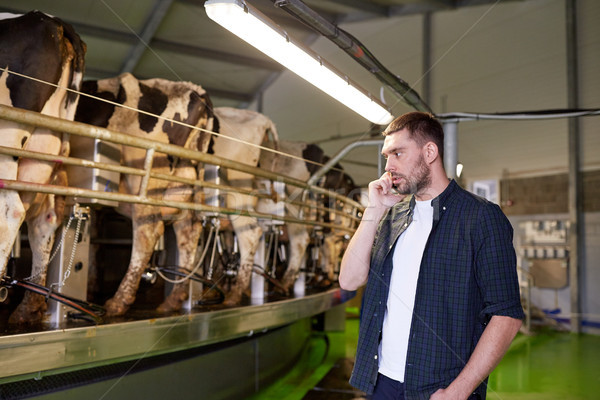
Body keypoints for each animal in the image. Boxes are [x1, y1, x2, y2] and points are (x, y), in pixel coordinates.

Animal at [0, 11, 86, 324]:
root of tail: (53, 21)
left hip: (9, 134)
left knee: (11, 210)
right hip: (45, 148)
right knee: (43, 220)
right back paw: (28, 309)